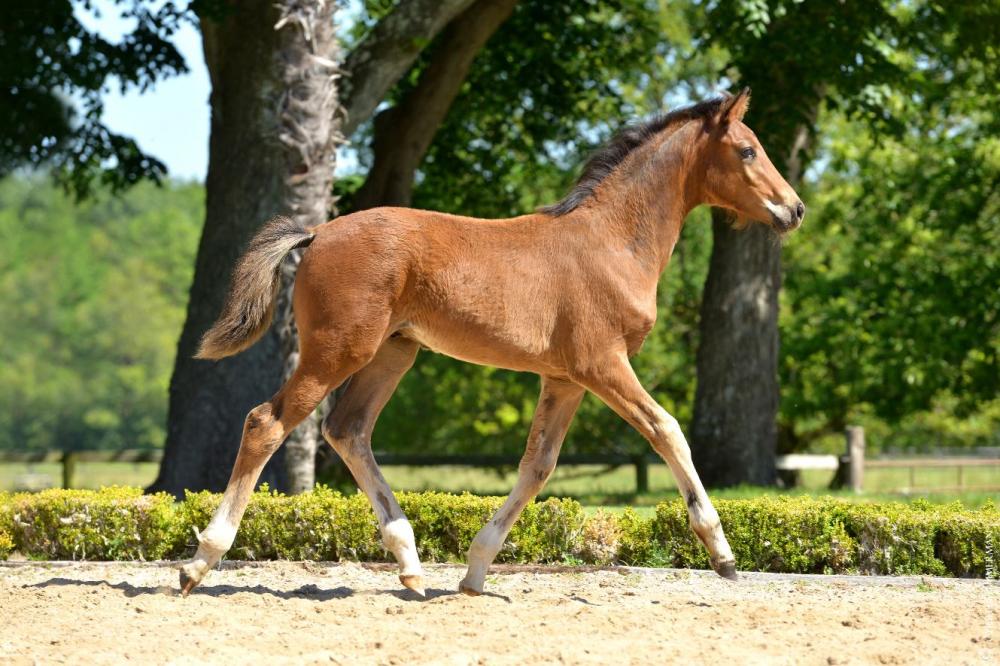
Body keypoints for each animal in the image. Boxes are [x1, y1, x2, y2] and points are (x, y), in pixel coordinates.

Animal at [178, 87, 804, 597]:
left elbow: (537, 466)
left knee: (348, 429)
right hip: (339, 349)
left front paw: (476, 571)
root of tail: (317, 232)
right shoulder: (603, 363)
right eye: (748, 150)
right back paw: (201, 561)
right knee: (267, 422)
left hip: (393, 351)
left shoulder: (564, 378)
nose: (794, 209)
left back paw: (410, 564)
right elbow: (667, 430)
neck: (610, 241)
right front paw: (722, 553)